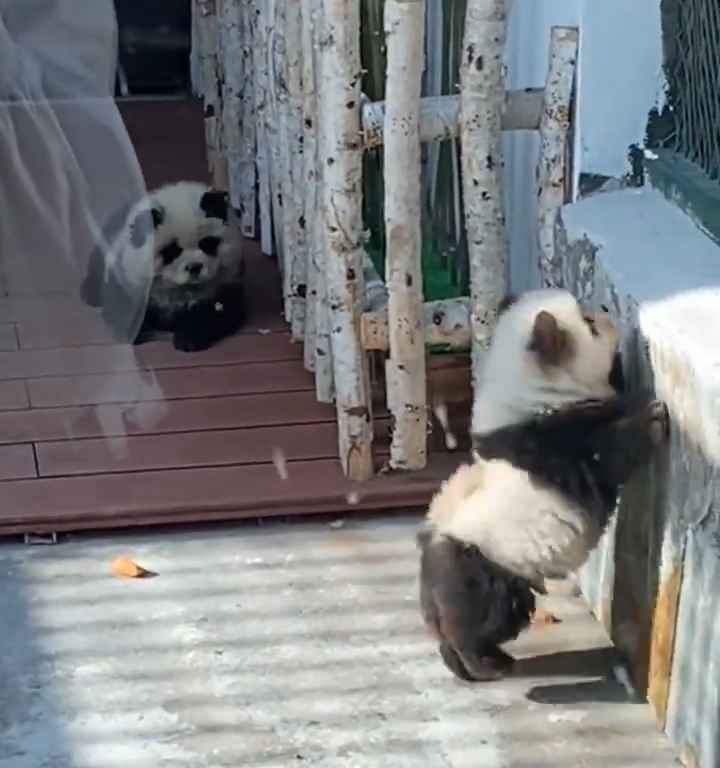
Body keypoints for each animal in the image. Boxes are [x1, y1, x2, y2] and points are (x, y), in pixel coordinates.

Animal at [81, 180, 245, 352]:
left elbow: (221, 311)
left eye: (207, 244)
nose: (194, 267)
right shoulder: (128, 275)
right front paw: (134, 331)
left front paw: (188, 338)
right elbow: (122, 309)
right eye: (171, 251)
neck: (181, 290)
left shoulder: (226, 283)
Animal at [416, 290, 668, 684]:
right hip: (485, 566)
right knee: (484, 617)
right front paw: (652, 417)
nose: (608, 313)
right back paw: (484, 664)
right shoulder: (553, 443)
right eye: (590, 323)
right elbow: (606, 453)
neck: (533, 394)